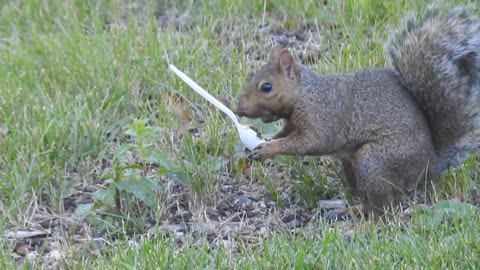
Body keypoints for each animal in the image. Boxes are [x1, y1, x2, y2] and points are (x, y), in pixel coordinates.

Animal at [234, 4, 480, 219]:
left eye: (266, 87)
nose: (238, 109)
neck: (306, 94)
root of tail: (430, 165)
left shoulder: (323, 118)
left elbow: (309, 142)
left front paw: (269, 149)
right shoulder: (293, 122)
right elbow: (284, 133)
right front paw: (262, 141)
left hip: (374, 161)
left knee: (384, 209)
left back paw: (367, 225)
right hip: (352, 167)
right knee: (370, 201)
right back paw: (350, 210)